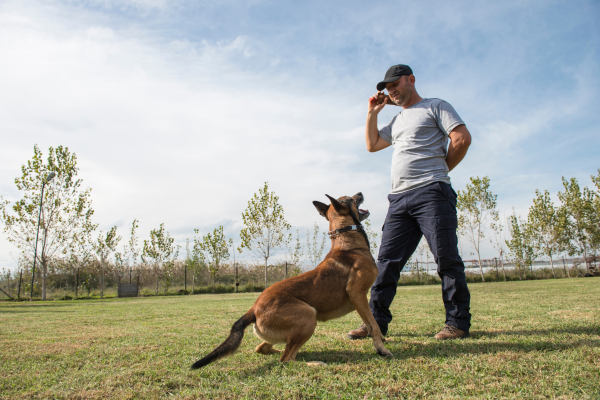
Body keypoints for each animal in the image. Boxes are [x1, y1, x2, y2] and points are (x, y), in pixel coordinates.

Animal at [190, 191, 392, 368]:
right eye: (351, 197)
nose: (360, 192)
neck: (347, 240)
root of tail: (253, 309)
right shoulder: (357, 295)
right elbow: (373, 325)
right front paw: (382, 349)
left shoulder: (360, 300)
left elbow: (371, 323)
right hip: (309, 316)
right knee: (287, 359)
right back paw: (314, 363)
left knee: (264, 348)